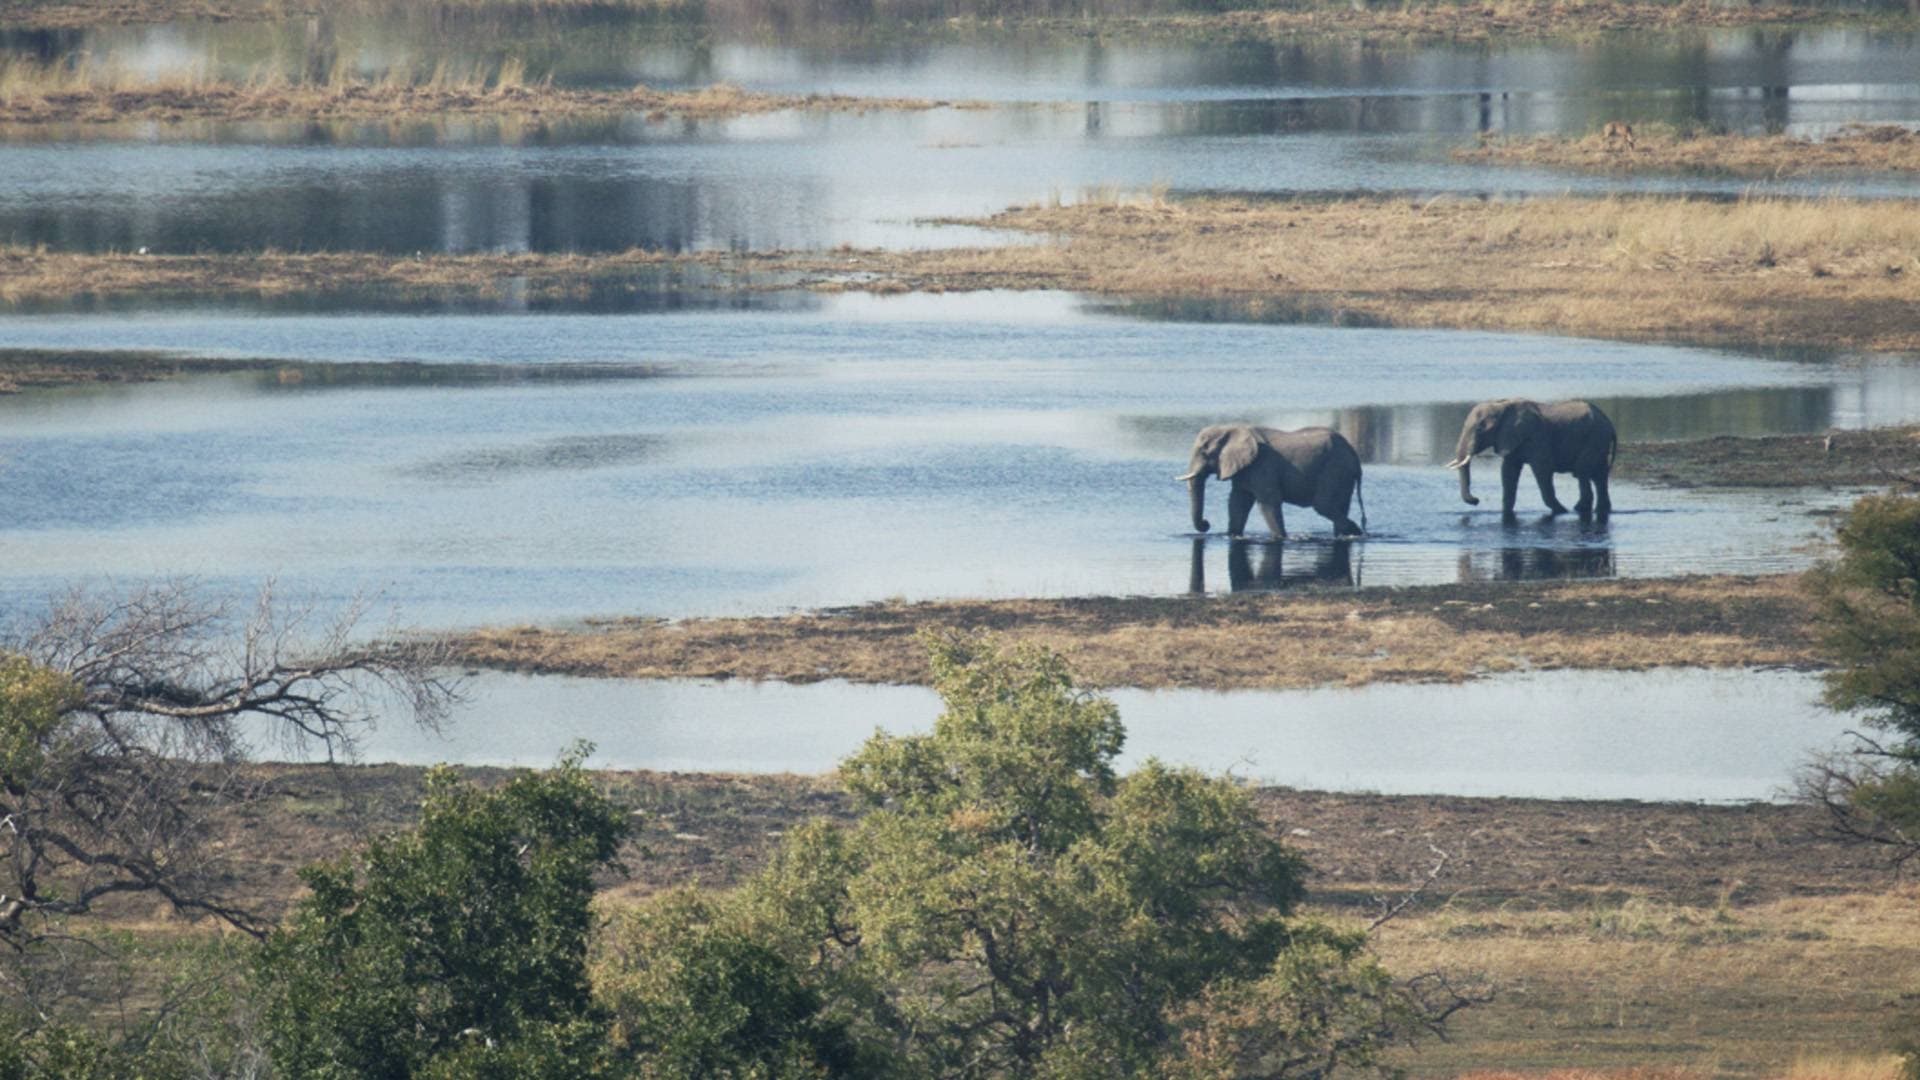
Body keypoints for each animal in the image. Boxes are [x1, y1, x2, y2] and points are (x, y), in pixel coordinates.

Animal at [1167, 422, 1367, 534]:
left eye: (1204, 451)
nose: (1206, 524)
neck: (1232, 428)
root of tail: (1355, 456)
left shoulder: (1263, 465)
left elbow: (1268, 502)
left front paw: (1280, 538)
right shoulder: (1245, 468)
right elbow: (1237, 502)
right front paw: (1231, 535)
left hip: (1335, 469)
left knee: (1323, 505)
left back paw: (1355, 532)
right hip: (1343, 473)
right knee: (1339, 506)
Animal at [1443, 395, 1612, 518]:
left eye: (1480, 429)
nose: (1476, 500)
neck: (1501, 406)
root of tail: (1608, 422)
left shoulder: (1536, 437)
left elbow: (1542, 471)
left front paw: (1561, 511)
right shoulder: (1511, 439)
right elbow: (1508, 473)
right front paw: (1506, 512)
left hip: (1595, 438)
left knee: (1583, 472)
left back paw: (1578, 509)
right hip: (1599, 441)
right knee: (1599, 476)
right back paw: (1599, 509)